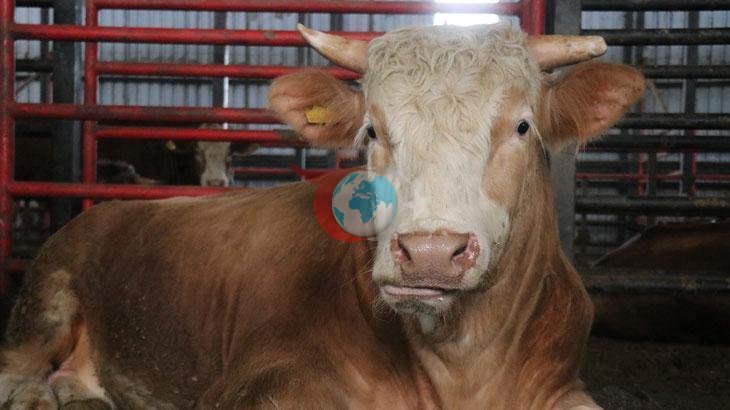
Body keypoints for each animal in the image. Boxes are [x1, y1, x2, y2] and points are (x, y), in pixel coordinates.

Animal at [0, 23, 645, 409]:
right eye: (372, 131)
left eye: (522, 125)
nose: (430, 252)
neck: (459, 366)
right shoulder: (261, 385)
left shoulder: (564, 387)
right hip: (45, 299)